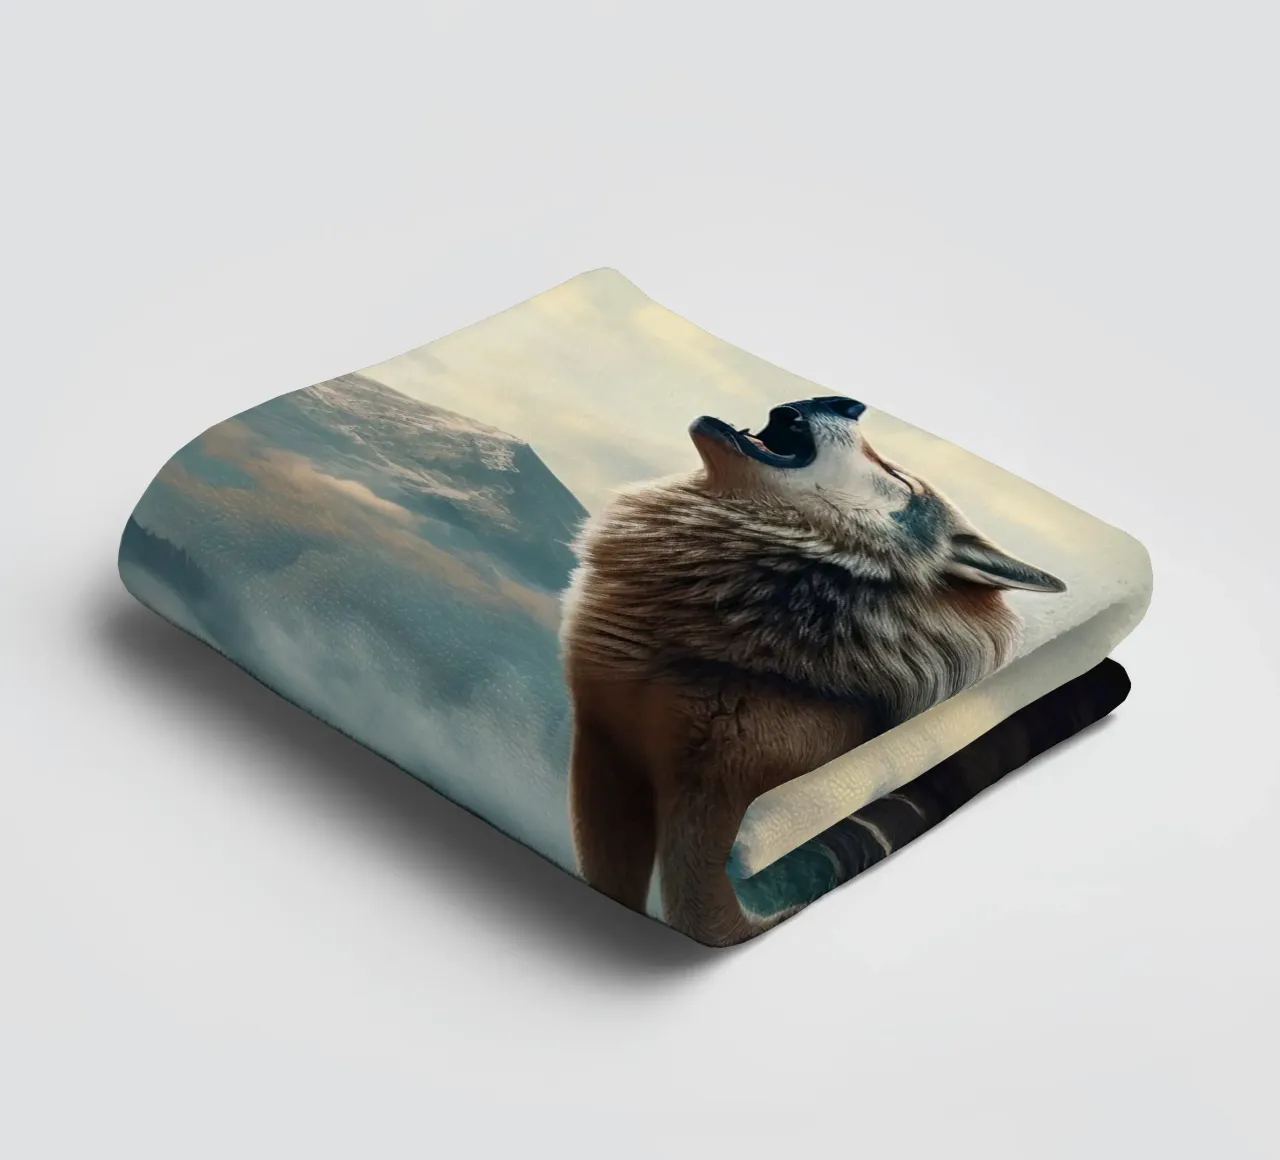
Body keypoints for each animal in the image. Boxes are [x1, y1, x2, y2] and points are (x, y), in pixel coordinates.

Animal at [559, 396, 1065, 945]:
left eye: (899, 478)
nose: (846, 402)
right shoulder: (602, 747)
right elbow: (609, 876)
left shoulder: (711, 806)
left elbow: (696, 914)